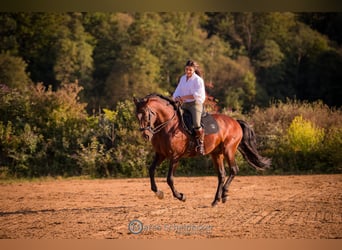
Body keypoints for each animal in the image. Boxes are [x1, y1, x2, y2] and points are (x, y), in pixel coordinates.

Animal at [133, 93, 270, 206]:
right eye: (137, 116)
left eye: (146, 114)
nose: (145, 135)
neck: (168, 126)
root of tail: (235, 121)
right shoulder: (161, 154)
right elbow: (151, 170)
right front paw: (159, 193)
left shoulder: (175, 156)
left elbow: (169, 179)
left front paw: (181, 196)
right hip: (216, 154)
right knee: (222, 175)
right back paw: (216, 200)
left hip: (229, 150)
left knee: (234, 170)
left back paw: (224, 195)